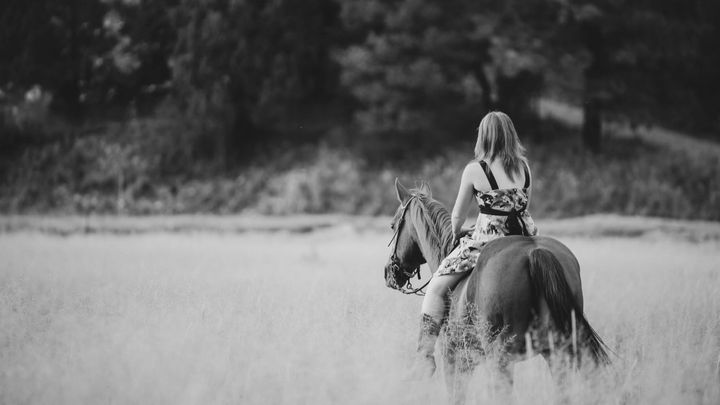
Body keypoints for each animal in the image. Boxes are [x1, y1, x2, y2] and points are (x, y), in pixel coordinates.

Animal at [384, 179, 609, 402]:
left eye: (393, 225)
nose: (389, 272)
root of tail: (534, 251)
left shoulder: (455, 359)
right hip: (556, 352)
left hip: (501, 358)